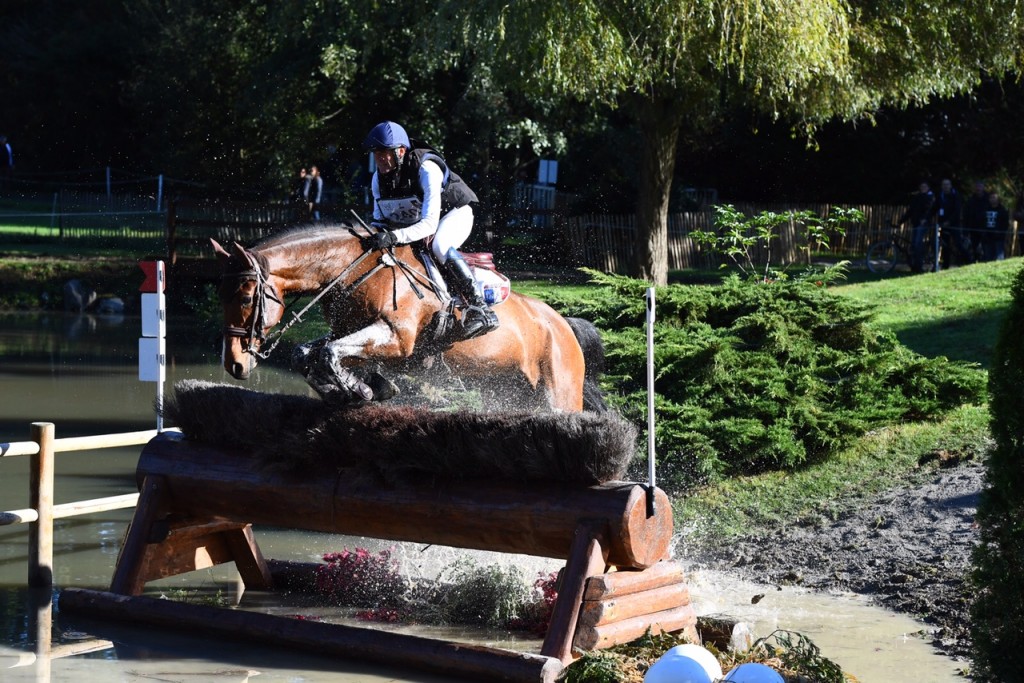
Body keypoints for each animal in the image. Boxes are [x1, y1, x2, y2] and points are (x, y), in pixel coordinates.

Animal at [210, 223, 602, 411]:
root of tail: (564, 324)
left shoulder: (396, 339)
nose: (234, 364)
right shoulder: (355, 334)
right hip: (515, 388)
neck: (354, 271)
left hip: (559, 394)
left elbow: (328, 352)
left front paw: (362, 388)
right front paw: (358, 387)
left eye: (246, 297)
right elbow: (308, 352)